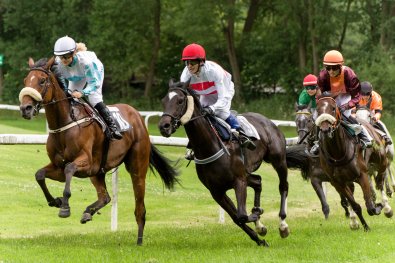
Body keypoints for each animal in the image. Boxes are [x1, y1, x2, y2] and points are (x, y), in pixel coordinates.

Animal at [18, 56, 179, 246]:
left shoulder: (85, 162)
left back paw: (139, 240)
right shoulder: (59, 166)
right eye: (25, 81)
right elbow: (40, 175)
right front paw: (55, 201)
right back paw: (88, 212)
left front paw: (64, 206)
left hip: (137, 167)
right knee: (105, 197)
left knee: (140, 206)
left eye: (42, 81)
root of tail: (138, 116)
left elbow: (69, 169)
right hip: (97, 172)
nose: (25, 108)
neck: (65, 123)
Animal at [159, 80, 290, 248]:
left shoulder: (239, 180)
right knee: (258, 181)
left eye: (180, 101)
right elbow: (237, 218)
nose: (164, 126)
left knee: (283, 186)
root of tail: (267, 121)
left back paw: (283, 225)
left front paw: (257, 216)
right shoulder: (217, 191)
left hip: (278, 160)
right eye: (164, 101)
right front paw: (260, 235)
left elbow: (241, 215)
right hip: (248, 173)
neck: (209, 146)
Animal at [316, 95, 392, 231]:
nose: (325, 129)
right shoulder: (338, 183)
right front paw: (363, 226)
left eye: (333, 108)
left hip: (381, 157)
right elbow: (355, 204)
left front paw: (378, 206)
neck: (338, 153)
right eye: (318, 110)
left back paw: (387, 206)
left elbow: (370, 206)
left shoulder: (362, 175)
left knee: (381, 177)